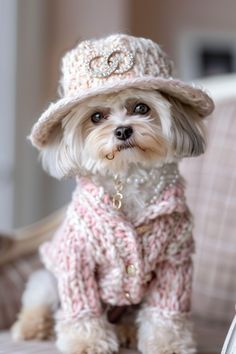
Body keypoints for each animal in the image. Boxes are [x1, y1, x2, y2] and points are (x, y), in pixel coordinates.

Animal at [11, 34, 214, 354]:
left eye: (141, 108)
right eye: (96, 116)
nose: (122, 131)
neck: (128, 176)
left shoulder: (175, 261)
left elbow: (165, 313)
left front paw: (168, 343)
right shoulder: (77, 259)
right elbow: (82, 311)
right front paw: (87, 342)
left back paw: (126, 331)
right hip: (47, 280)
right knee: (39, 304)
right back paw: (31, 328)